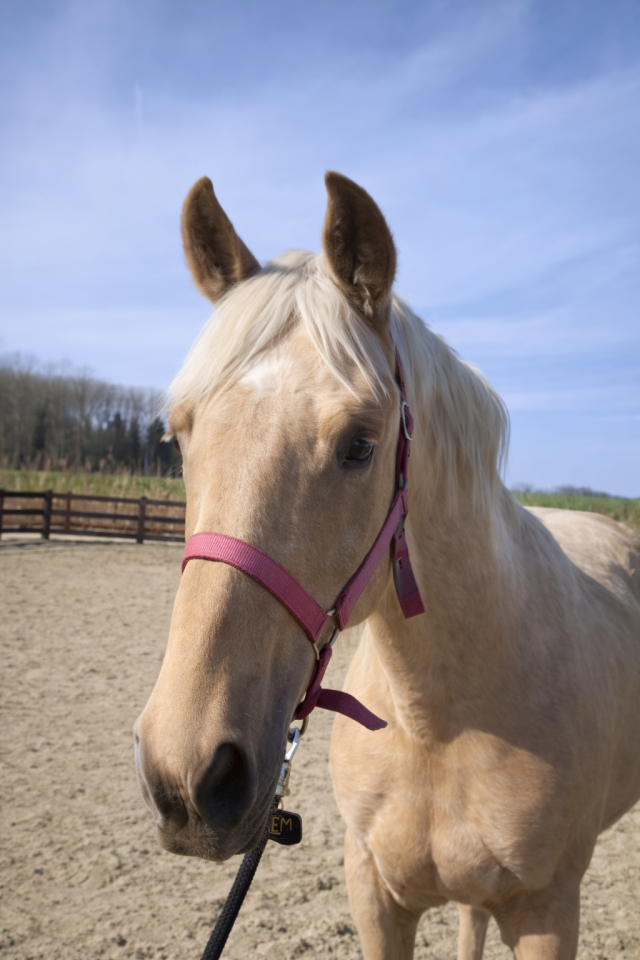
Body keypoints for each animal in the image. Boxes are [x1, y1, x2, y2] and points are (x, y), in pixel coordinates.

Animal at [134, 171, 640, 959]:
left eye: (360, 445)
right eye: (178, 435)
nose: (187, 777)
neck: (439, 721)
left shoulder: (549, 910)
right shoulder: (374, 895)